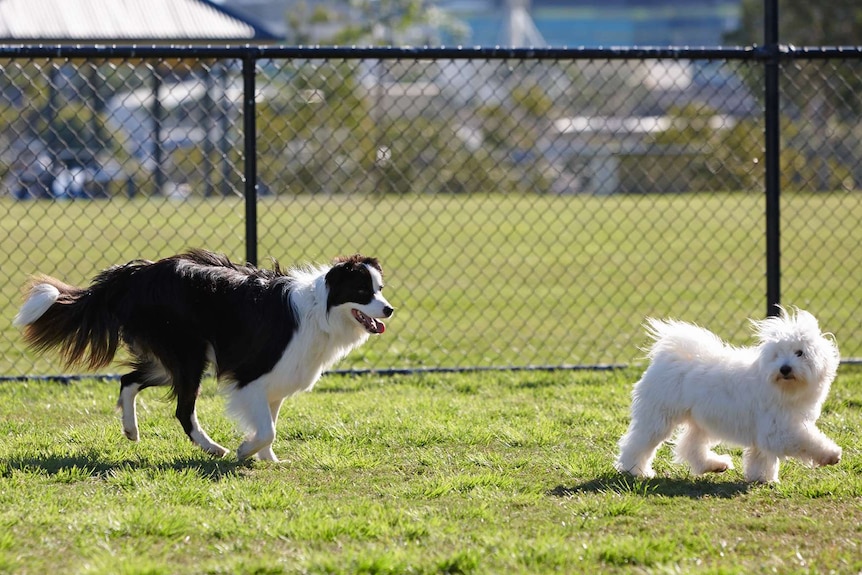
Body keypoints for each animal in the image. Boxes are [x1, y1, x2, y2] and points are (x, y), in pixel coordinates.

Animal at [14, 250, 394, 462]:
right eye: (362, 290)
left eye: (380, 288)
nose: (389, 309)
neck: (321, 309)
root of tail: (135, 273)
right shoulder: (251, 376)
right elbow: (268, 429)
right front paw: (244, 451)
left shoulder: (276, 382)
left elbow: (270, 425)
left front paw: (269, 460)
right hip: (189, 355)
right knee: (183, 411)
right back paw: (213, 448)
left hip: (169, 360)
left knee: (128, 380)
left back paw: (131, 429)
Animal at [616, 308, 844, 484]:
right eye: (777, 355)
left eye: (800, 353)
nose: (785, 368)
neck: (784, 389)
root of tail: (670, 356)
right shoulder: (778, 430)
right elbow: (807, 440)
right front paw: (831, 454)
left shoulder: (766, 429)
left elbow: (761, 457)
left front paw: (762, 478)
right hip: (659, 417)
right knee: (638, 443)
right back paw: (635, 470)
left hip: (702, 421)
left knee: (690, 446)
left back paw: (715, 465)